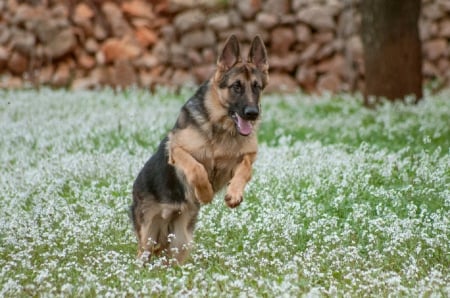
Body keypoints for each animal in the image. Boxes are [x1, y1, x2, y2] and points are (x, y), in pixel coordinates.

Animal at [129, 33, 268, 264]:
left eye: (256, 87)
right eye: (236, 86)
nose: (252, 113)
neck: (221, 128)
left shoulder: (245, 157)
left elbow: (245, 170)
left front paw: (234, 194)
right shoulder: (177, 150)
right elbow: (197, 168)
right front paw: (205, 194)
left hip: (181, 240)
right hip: (148, 234)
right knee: (143, 253)